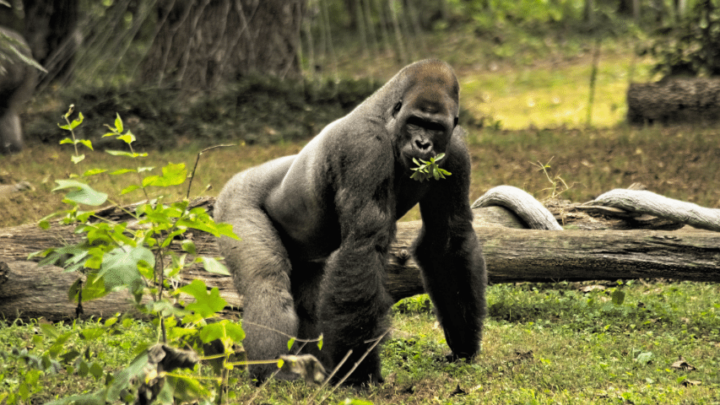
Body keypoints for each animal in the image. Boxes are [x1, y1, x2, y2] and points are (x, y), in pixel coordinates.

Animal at [212, 58, 484, 384]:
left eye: (435, 127)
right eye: (415, 121)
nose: (422, 144)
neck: (389, 120)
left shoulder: (455, 152)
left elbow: (446, 239)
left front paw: (463, 346)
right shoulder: (365, 148)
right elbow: (363, 245)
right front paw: (358, 374)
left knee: (309, 301)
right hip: (234, 203)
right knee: (267, 284)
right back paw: (274, 376)